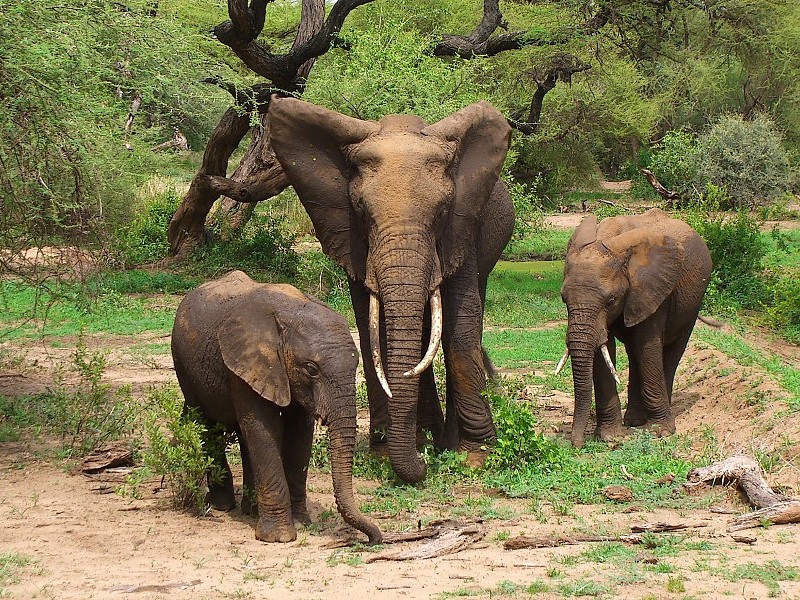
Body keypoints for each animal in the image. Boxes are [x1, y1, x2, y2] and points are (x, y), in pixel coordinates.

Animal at [171, 270, 381, 544]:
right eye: (311, 369)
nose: (372, 539)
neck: (290, 312)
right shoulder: (246, 362)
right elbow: (264, 429)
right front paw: (279, 537)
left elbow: (299, 432)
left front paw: (301, 523)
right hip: (183, 363)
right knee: (209, 425)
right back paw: (222, 507)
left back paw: (250, 511)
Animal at [268, 97, 514, 483]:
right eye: (362, 213)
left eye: (442, 212)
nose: (424, 467)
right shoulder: (353, 241)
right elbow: (375, 330)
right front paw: (386, 454)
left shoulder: (462, 229)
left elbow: (460, 329)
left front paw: (476, 456)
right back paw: (428, 438)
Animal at [560, 208, 712, 447]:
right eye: (564, 299)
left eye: (611, 300)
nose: (576, 444)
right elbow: (604, 348)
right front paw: (610, 437)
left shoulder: (653, 290)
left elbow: (647, 347)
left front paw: (661, 432)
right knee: (634, 353)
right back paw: (634, 421)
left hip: (693, 304)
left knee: (669, 352)